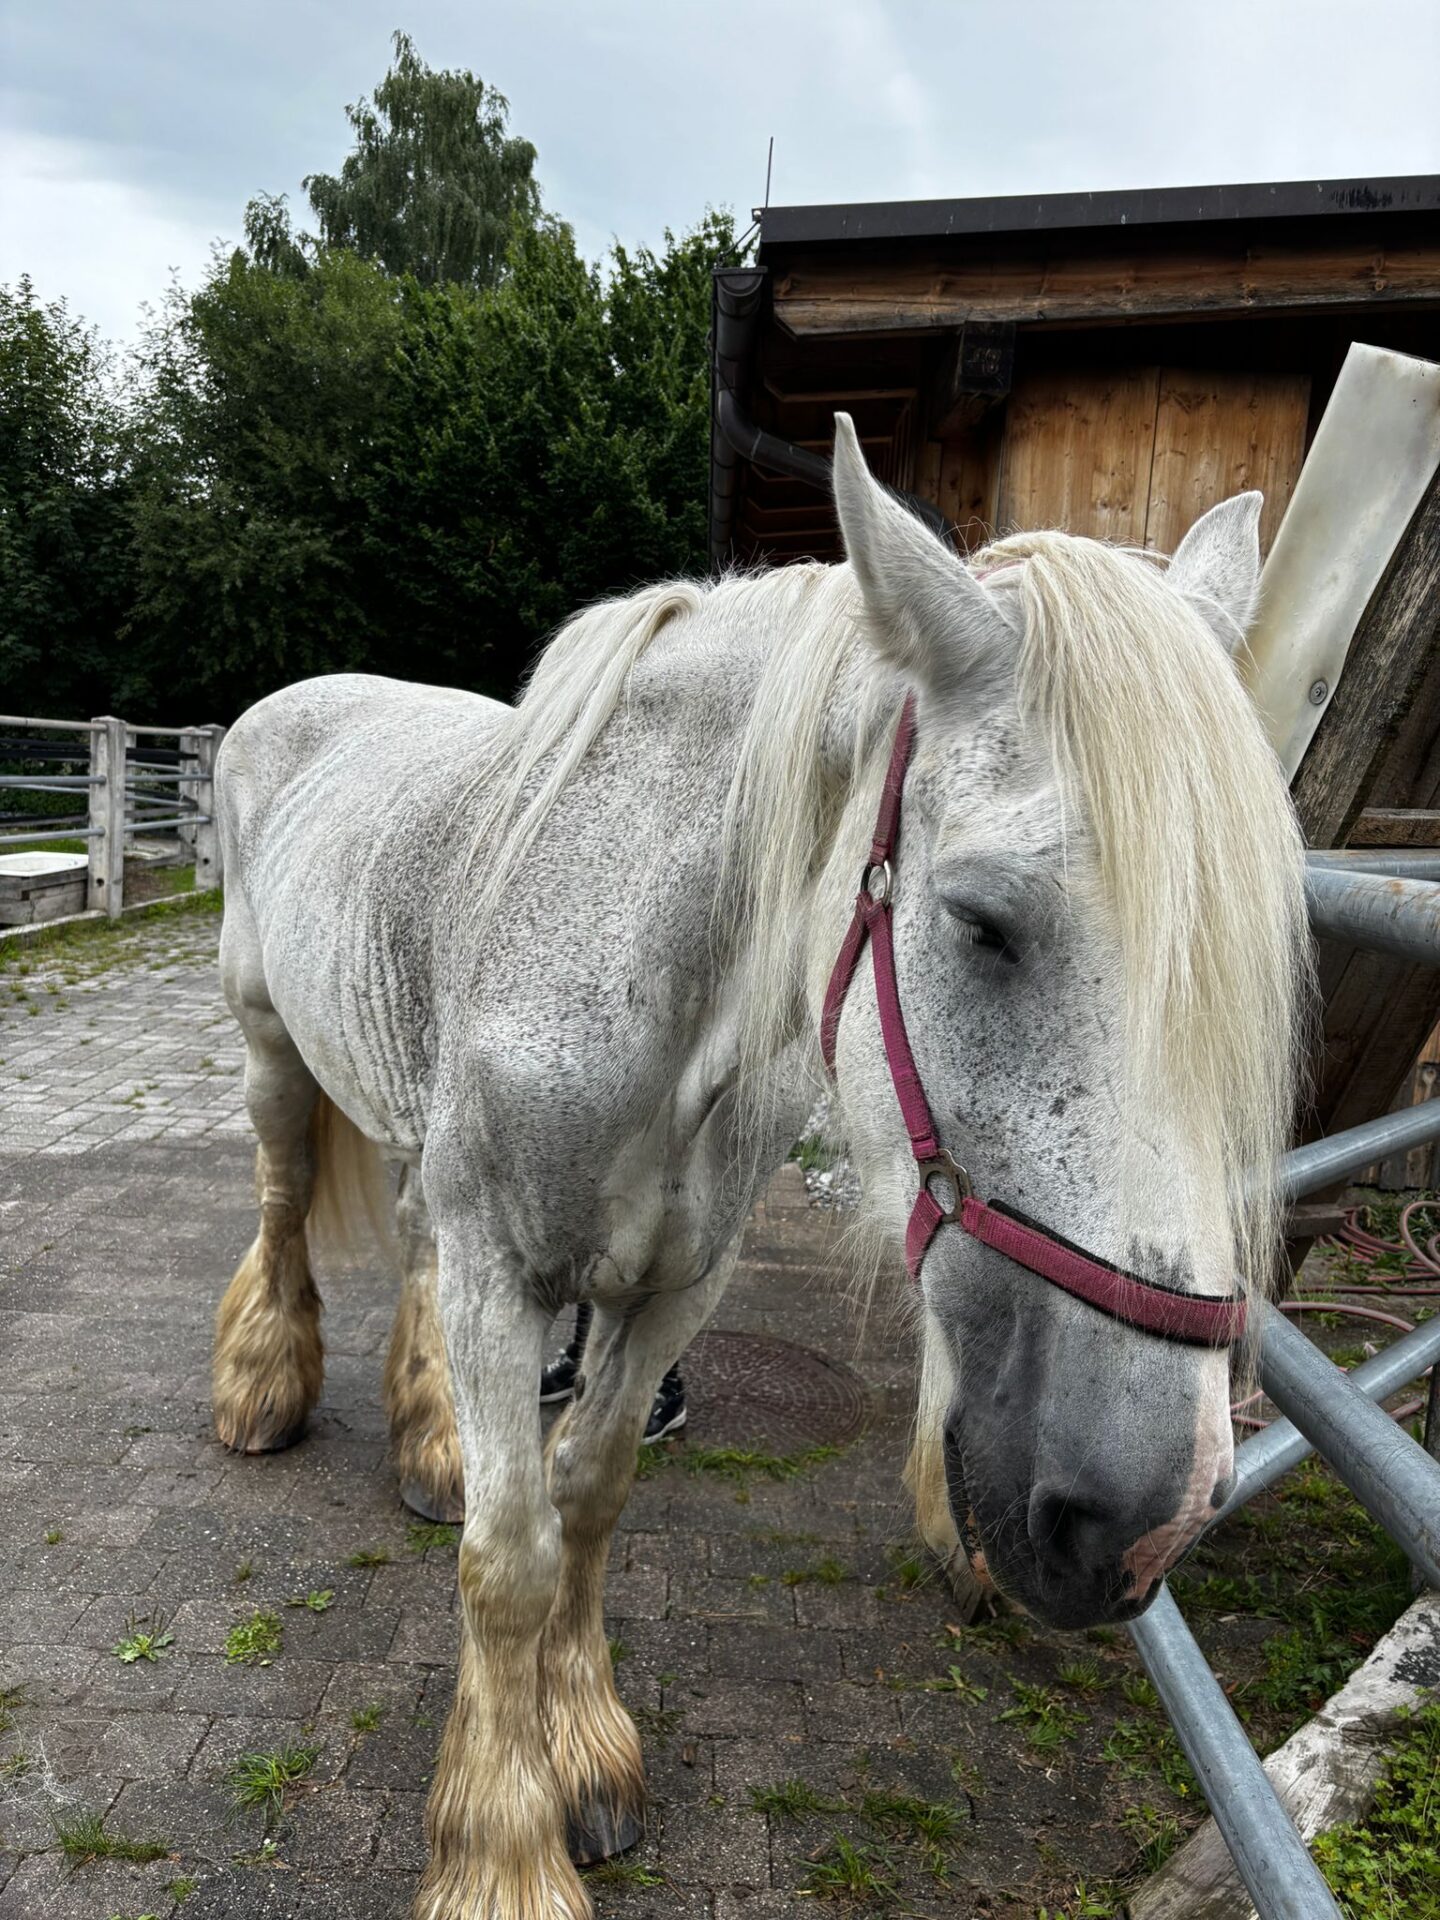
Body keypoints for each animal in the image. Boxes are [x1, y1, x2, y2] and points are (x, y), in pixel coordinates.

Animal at [209, 415, 1309, 1919]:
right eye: (979, 921)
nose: (1145, 1520)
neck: (648, 1001)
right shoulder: (509, 1279)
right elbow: (508, 1562)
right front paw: (502, 1852)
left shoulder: (676, 1285)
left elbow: (587, 1497)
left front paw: (585, 1751)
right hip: (270, 1046)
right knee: (278, 1203)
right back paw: (263, 1393)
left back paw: (429, 1440)